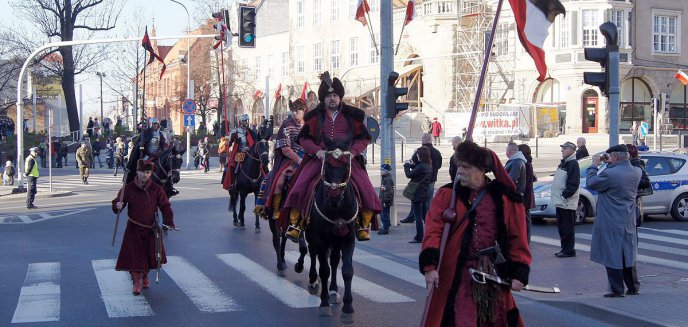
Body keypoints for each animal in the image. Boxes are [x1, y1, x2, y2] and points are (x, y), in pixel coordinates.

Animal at [308, 138, 360, 326]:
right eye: (327, 166)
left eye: (346, 165)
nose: (334, 198)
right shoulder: (321, 240)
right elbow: (324, 270)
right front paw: (324, 304)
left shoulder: (348, 240)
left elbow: (347, 270)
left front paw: (348, 308)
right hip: (312, 236)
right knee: (314, 255)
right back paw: (313, 281)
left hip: (336, 240)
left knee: (335, 261)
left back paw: (333, 290)